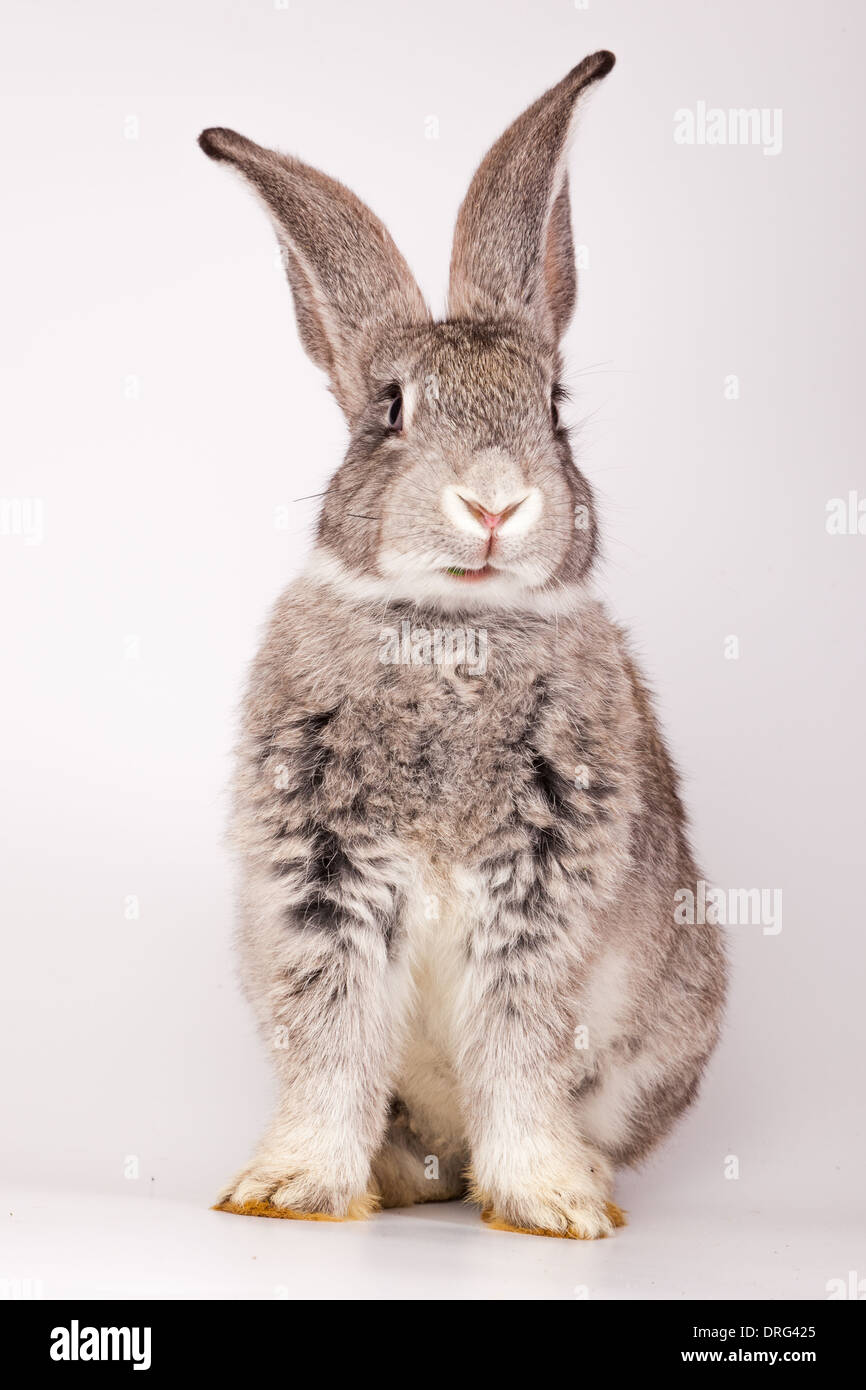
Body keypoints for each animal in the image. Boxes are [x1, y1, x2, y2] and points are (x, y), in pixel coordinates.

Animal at [200, 51, 728, 1239]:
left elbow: (521, 1050)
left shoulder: (541, 896)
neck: (451, 630)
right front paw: (291, 1194)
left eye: (555, 409)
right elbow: (335, 1041)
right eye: (388, 412)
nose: (494, 501)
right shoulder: (323, 882)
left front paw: (552, 1207)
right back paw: (397, 1182)